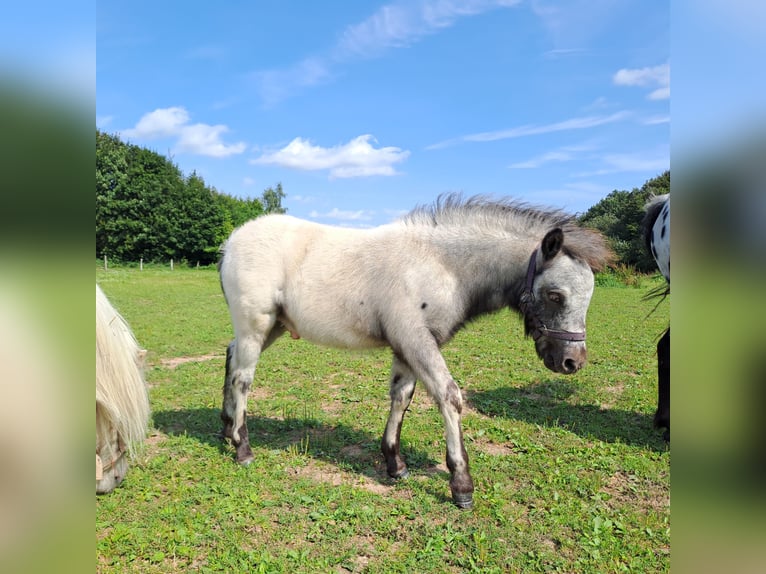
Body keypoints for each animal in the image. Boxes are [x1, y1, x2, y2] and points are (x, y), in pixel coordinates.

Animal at [219, 195, 616, 508]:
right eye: (555, 295)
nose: (572, 362)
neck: (440, 264)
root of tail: (231, 243)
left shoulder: (409, 346)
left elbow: (402, 398)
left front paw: (395, 464)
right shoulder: (415, 340)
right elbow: (449, 395)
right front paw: (461, 483)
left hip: (273, 328)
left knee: (230, 356)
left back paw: (226, 430)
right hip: (256, 326)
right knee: (243, 379)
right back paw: (243, 448)